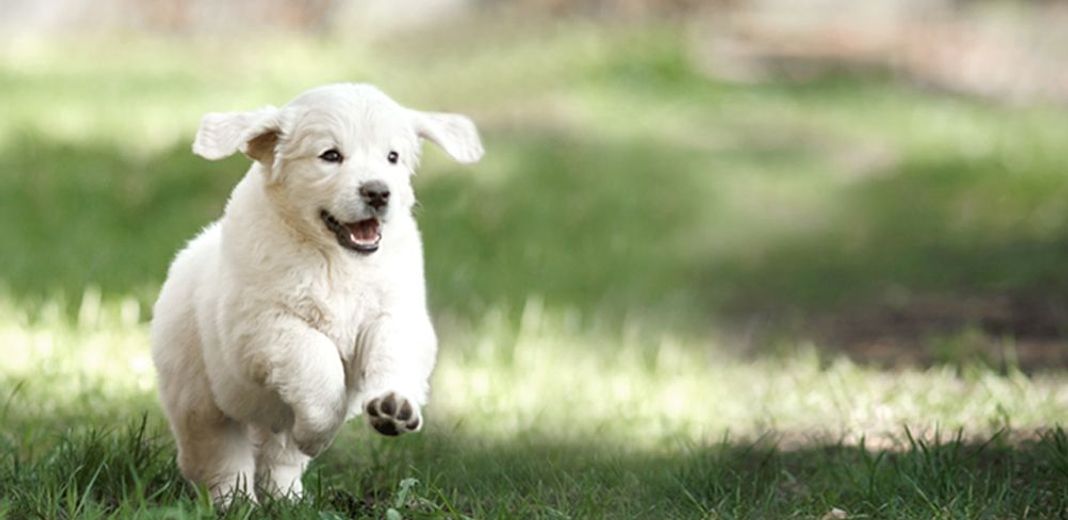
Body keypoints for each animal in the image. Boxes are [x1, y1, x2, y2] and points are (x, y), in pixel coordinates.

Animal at [150, 84, 484, 503]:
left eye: (392, 157)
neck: (334, 258)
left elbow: (393, 351)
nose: (378, 192)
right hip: (200, 398)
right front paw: (319, 432)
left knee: (280, 458)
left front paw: (394, 406)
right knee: (220, 457)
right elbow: (316, 358)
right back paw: (237, 501)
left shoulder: (393, 312)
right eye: (330, 156)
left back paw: (287, 498)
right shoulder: (260, 325)